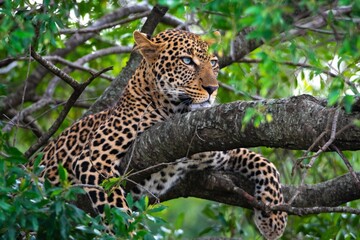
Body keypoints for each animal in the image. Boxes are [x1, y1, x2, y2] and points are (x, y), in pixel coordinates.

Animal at [28, 29, 286, 239]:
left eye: (213, 63)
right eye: (187, 61)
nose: (213, 89)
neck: (176, 111)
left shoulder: (210, 149)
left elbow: (264, 162)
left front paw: (274, 220)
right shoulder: (94, 158)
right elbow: (118, 210)